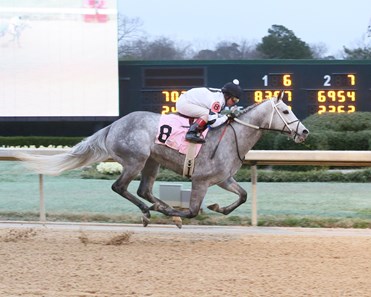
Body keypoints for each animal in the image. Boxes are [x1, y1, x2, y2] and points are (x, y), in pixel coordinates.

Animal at [16, 92, 310, 227]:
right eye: (285, 110)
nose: (305, 132)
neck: (231, 136)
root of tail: (112, 126)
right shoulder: (201, 180)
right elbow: (193, 210)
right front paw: (175, 213)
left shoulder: (223, 178)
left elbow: (243, 196)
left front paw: (217, 207)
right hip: (135, 159)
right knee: (120, 187)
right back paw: (150, 211)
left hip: (151, 162)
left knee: (143, 190)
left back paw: (157, 207)